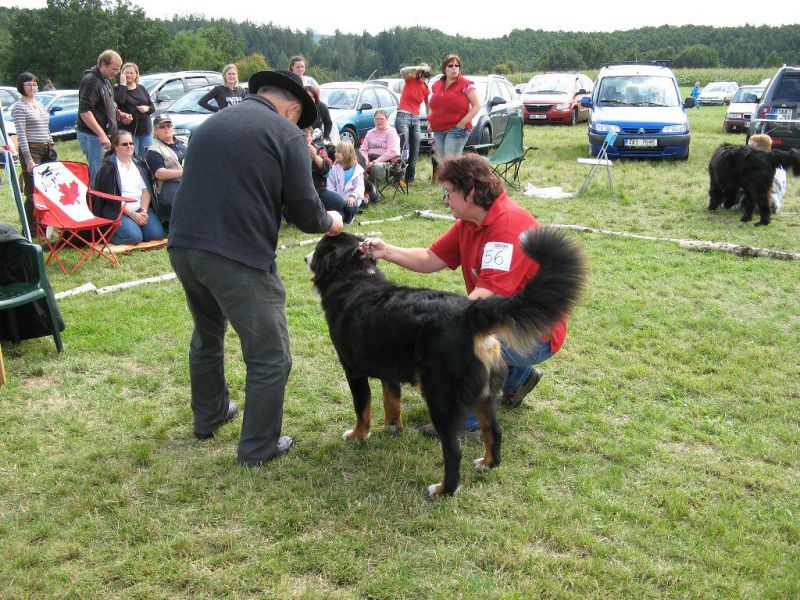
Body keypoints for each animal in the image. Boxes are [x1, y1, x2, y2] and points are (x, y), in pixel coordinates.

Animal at [308, 226, 588, 496]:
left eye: (318, 249)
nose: (305, 257)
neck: (354, 278)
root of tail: (468, 313)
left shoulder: (353, 370)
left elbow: (362, 409)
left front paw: (357, 435)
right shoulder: (389, 370)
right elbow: (392, 402)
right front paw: (392, 428)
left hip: (440, 397)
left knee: (453, 451)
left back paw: (443, 490)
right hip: (486, 394)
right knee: (494, 431)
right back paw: (488, 464)